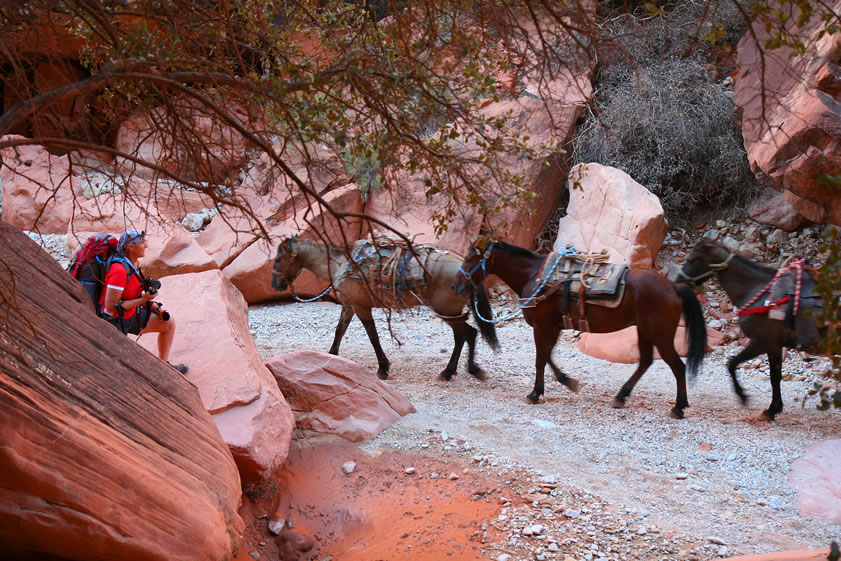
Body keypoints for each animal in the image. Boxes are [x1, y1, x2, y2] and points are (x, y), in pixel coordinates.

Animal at [270, 236, 498, 380]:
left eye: (279, 259)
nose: (275, 284)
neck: (341, 265)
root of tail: (466, 267)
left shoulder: (361, 307)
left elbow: (373, 337)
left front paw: (383, 368)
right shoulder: (349, 305)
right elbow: (339, 331)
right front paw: (331, 356)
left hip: (447, 311)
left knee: (467, 334)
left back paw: (458, 370)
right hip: (450, 313)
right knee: (465, 335)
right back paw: (457, 370)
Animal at [676, 237, 820, 420]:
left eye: (692, 259)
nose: (678, 281)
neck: (761, 295)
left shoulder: (761, 342)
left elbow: (731, 364)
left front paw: (743, 395)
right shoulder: (774, 345)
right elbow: (775, 377)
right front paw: (773, 409)